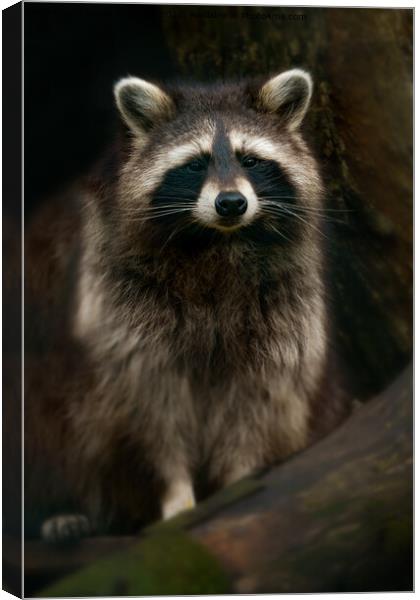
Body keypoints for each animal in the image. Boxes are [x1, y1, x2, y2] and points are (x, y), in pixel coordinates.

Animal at [24, 68, 350, 540]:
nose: (231, 203)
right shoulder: (119, 300)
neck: (217, 242)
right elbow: (149, 406)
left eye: (250, 160)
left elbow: (261, 396)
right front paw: (175, 492)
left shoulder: (285, 301)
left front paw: (240, 478)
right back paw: (57, 507)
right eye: (196, 164)